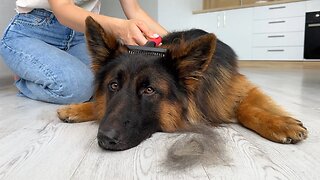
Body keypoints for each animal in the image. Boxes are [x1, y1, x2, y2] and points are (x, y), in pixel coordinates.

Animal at [57, 17, 308, 151]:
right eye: (113, 86)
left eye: (149, 90)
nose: (104, 139)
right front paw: (78, 108)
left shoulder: (236, 88)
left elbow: (245, 108)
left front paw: (279, 123)